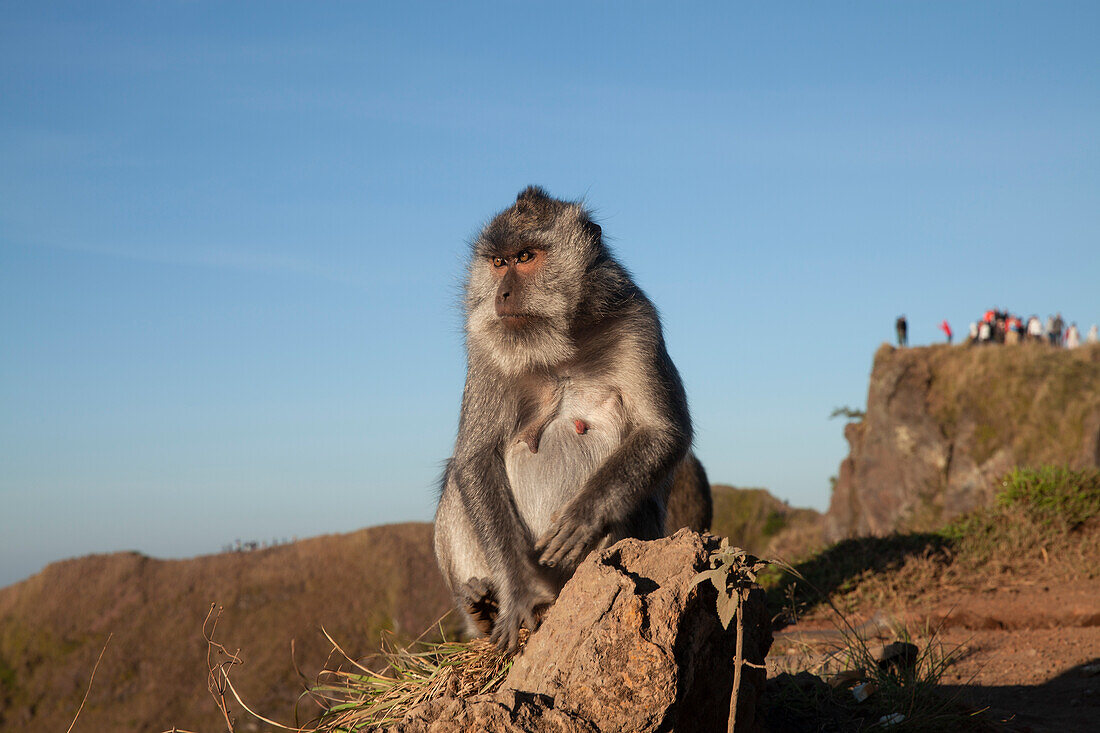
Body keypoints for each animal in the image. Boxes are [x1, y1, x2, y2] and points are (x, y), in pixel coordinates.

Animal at [433, 186, 708, 647]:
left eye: (526, 257)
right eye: (498, 263)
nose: (501, 295)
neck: (561, 344)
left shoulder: (638, 322)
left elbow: (662, 431)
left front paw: (584, 516)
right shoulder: (484, 345)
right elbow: (474, 457)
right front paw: (518, 591)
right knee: (457, 480)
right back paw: (481, 609)